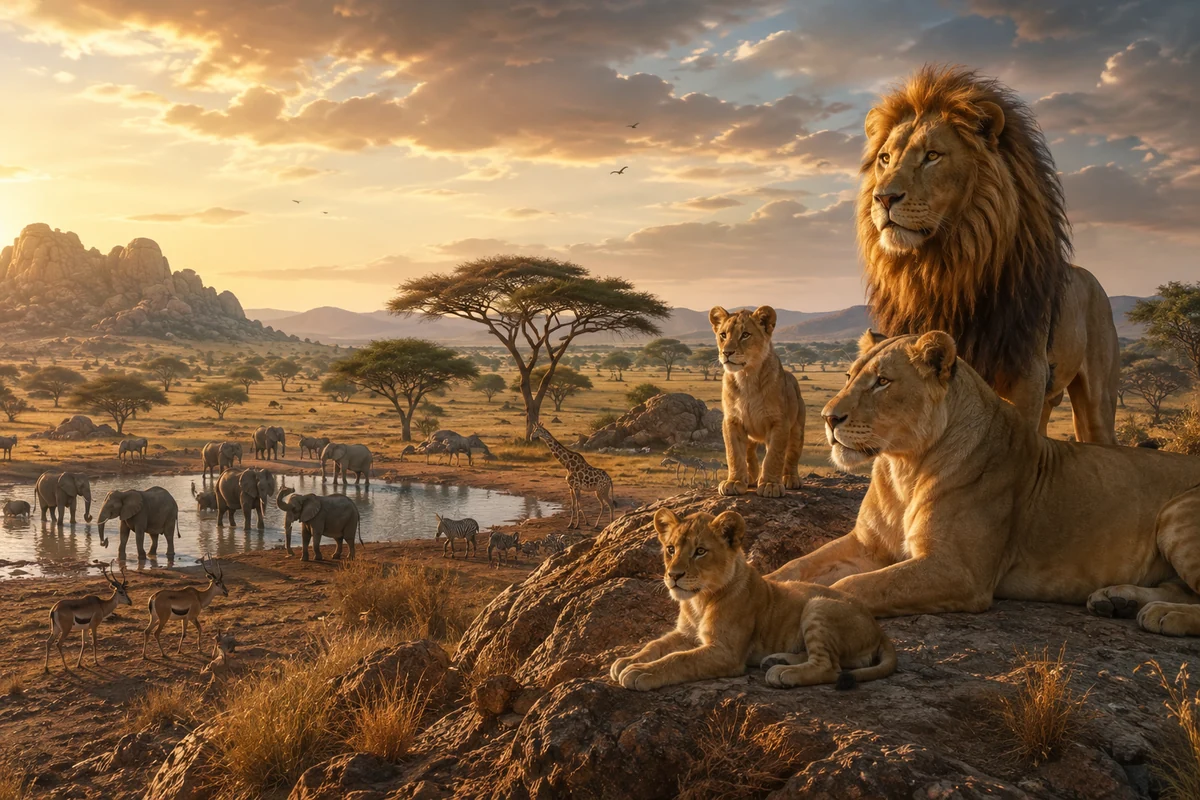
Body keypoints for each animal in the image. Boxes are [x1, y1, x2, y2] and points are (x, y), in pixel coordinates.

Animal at [610, 508, 896, 691]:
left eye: (700, 551)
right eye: (670, 549)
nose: (674, 575)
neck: (698, 600)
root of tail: (879, 630)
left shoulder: (726, 652)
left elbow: (679, 659)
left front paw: (642, 672)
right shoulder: (685, 633)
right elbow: (655, 645)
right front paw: (628, 660)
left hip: (818, 604)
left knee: (830, 667)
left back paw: (782, 672)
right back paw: (776, 660)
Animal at [708, 306, 806, 498]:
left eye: (745, 335)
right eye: (723, 335)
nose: (726, 352)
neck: (746, 377)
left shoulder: (779, 422)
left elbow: (774, 456)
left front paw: (770, 485)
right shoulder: (732, 421)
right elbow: (734, 454)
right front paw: (734, 482)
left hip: (797, 429)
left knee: (792, 455)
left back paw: (790, 479)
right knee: (749, 454)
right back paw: (750, 478)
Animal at [769, 329, 1200, 637]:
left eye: (882, 382)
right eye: (848, 376)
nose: (827, 418)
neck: (902, 467)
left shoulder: (958, 571)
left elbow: (854, 587)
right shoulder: (867, 544)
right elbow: (798, 564)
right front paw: (765, 584)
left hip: (1179, 515)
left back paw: (1162, 614)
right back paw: (1118, 600)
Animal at [859, 65, 1118, 443]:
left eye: (932, 156)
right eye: (885, 158)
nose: (883, 198)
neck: (943, 269)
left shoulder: (1026, 376)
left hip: (1096, 401)